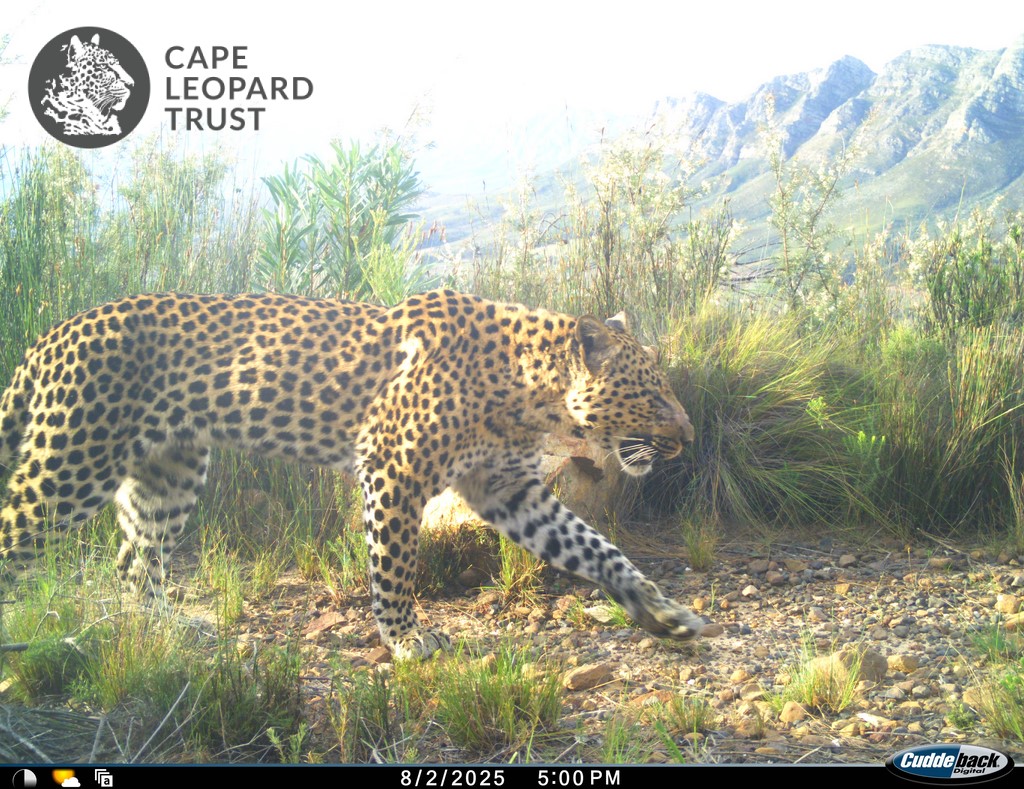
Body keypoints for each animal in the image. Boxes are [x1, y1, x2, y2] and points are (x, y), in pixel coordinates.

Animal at [0, 289, 704, 659]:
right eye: (654, 394)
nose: (688, 439)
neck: (532, 393)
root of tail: (53, 333)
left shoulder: (510, 490)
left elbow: (596, 548)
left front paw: (661, 613)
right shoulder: (394, 469)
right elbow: (396, 568)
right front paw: (406, 641)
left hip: (166, 473)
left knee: (135, 562)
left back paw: (169, 629)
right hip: (71, 464)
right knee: (15, 536)